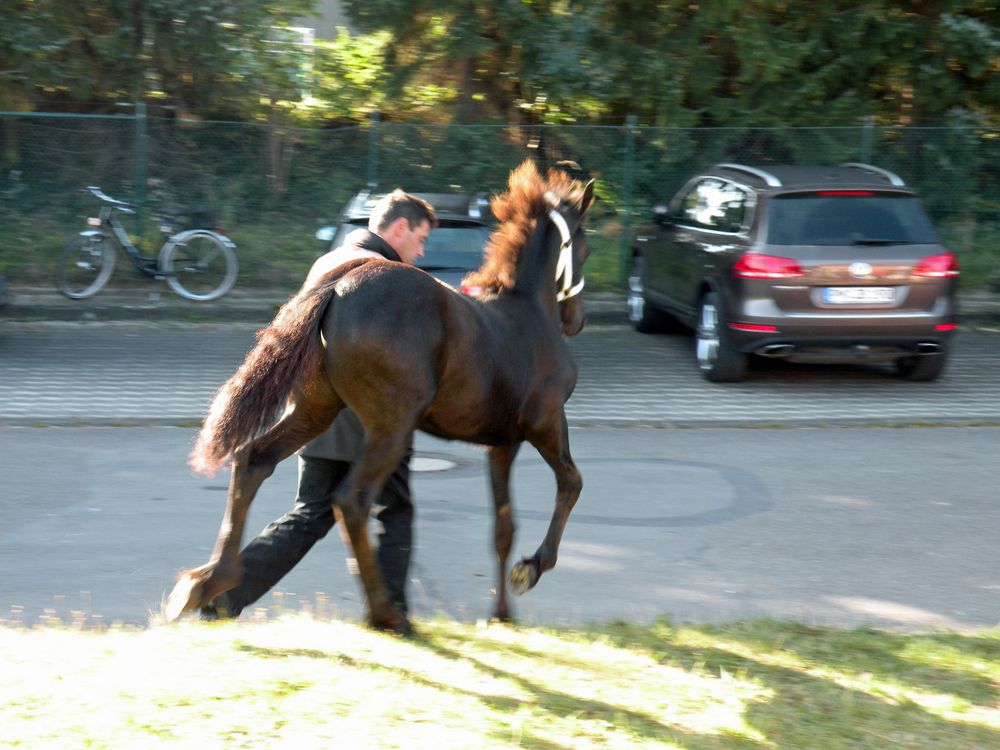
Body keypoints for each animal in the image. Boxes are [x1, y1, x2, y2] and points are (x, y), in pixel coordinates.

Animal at [164, 163, 592, 636]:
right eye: (586, 247)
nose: (577, 320)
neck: (528, 314)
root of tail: (337, 285)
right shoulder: (545, 422)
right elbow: (571, 483)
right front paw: (531, 568)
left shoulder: (501, 442)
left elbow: (503, 528)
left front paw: (501, 613)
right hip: (391, 426)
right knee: (352, 500)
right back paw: (385, 613)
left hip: (315, 409)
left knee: (253, 460)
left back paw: (208, 584)